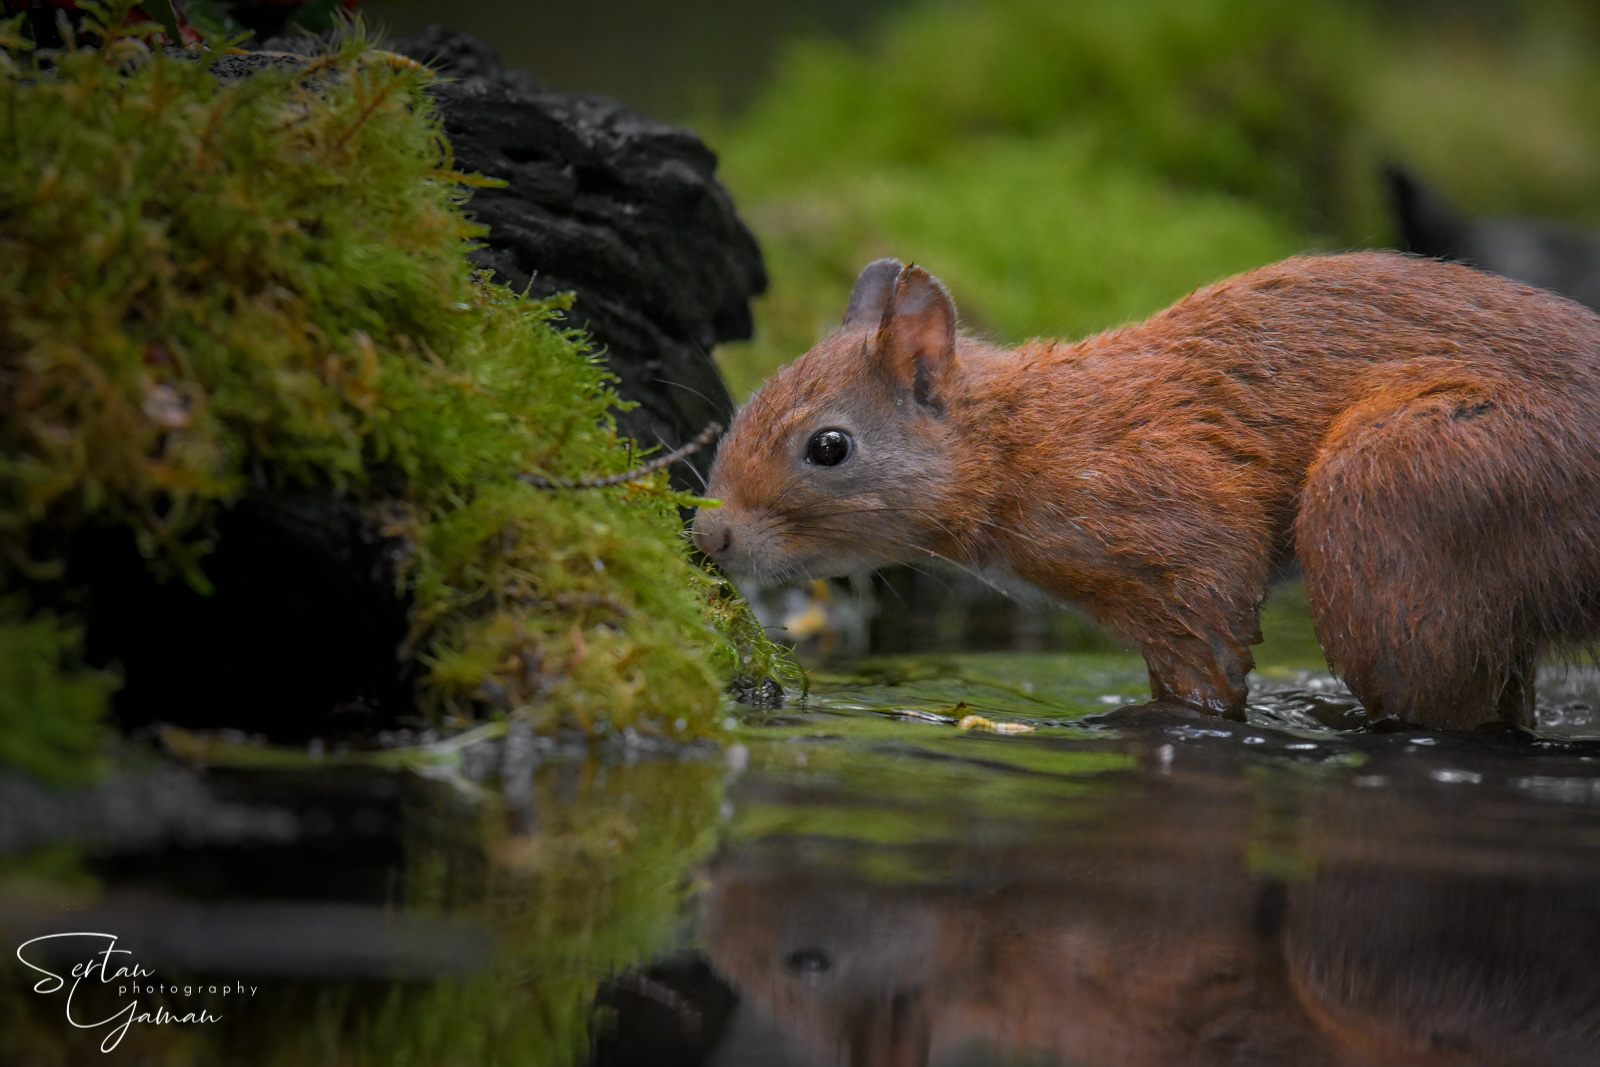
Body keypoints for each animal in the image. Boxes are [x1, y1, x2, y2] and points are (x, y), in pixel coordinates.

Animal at [692, 252, 1600, 730]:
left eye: (829, 446)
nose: (709, 537)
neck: (1025, 439)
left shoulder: (1179, 531)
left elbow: (1206, 657)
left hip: (1401, 492)